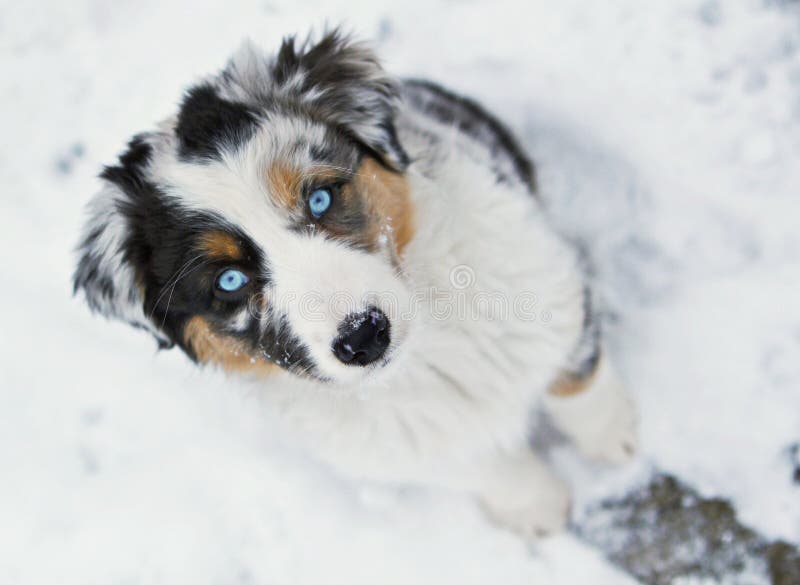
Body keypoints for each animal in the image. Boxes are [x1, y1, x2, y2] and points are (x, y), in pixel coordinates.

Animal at [75, 29, 636, 536]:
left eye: (320, 198)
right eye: (229, 280)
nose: (364, 336)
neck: (425, 351)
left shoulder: (547, 285)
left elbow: (574, 378)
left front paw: (617, 440)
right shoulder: (397, 443)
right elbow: (477, 462)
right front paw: (534, 508)